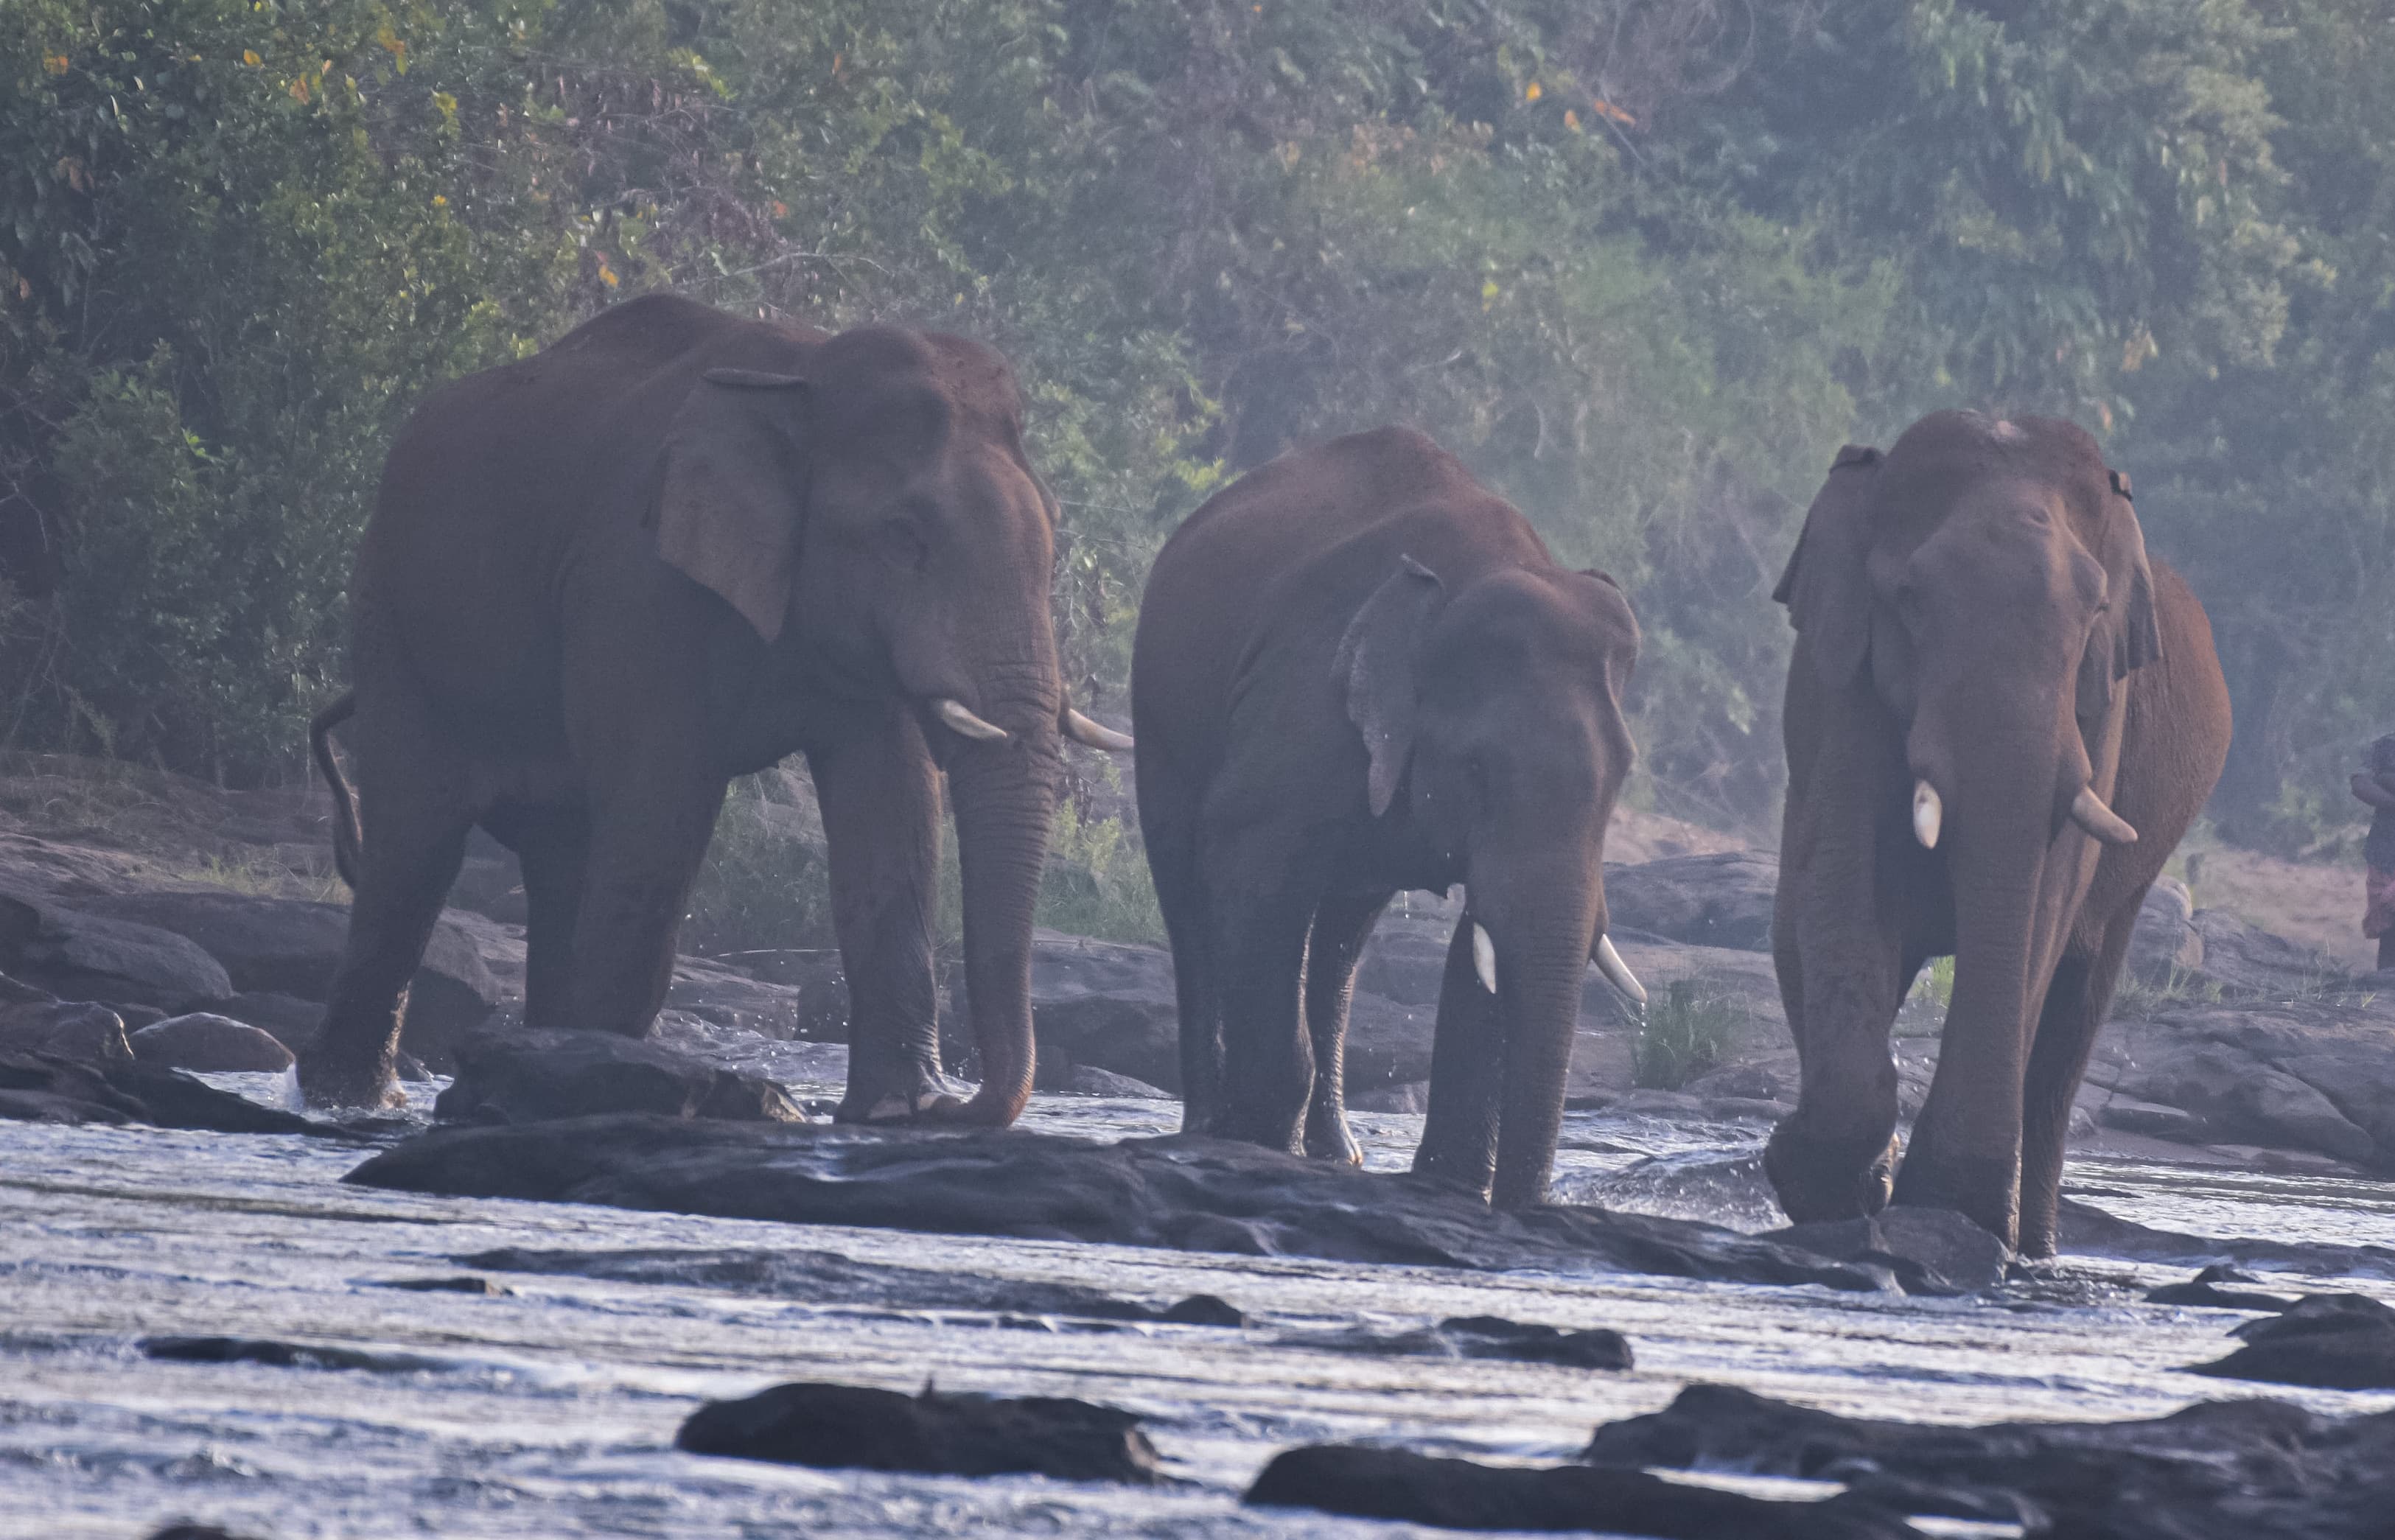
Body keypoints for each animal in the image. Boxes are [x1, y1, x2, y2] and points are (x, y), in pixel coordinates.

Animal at [301, 292, 1131, 1115]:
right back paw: (356, 1095)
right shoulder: (636, 580)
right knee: (418, 847)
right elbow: (662, 810)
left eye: (1054, 539)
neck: (802, 378)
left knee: (558, 854)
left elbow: (891, 810)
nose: (962, 1102)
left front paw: (900, 1111)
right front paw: (612, 1082)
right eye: (904, 537)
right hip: (391, 621)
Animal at [1132, 426, 1646, 1208]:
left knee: (1343, 929)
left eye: (1621, 777)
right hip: (1158, 719)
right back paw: (1216, 1130)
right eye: (1478, 770)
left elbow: (1480, 943)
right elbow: (1249, 859)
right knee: (1190, 893)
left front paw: (1449, 1183)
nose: (1527, 1205)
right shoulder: (1306, 697)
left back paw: (1337, 1153)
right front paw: (1259, 1141)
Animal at [1765, 410, 2231, 1255]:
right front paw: (1840, 1187)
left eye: (2094, 612)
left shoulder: (2100, 712)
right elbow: (1845, 881)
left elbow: (2044, 902)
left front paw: (1943, 1209)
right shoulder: (1839, 680)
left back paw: (2031, 1248)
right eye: (1909, 599)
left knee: (2072, 1015)